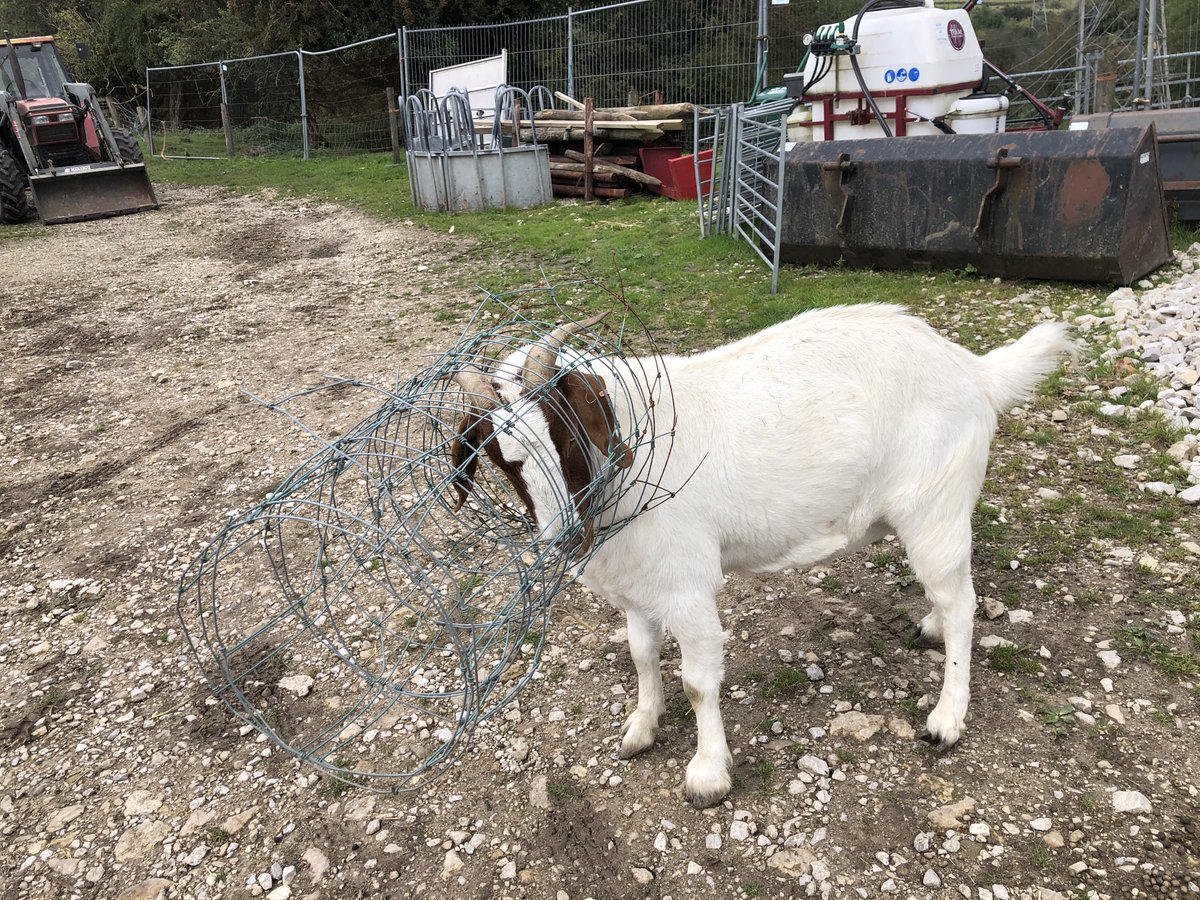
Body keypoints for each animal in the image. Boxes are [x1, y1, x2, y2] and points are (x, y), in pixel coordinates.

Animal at [448, 303, 1073, 807]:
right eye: (498, 456)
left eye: (566, 428)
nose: (564, 538)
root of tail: (975, 371)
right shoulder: (637, 583)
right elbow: (642, 655)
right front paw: (642, 727)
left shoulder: (688, 587)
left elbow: (698, 682)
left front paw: (707, 775)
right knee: (949, 597)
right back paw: (931, 628)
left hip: (935, 507)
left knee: (963, 602)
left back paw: (946, 717)